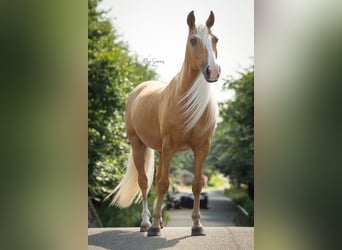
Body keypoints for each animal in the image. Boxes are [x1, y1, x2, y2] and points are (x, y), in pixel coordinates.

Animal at [109, 9, 222, 236]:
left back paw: (158, 220)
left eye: (215, 39)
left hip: (159, 151)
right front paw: (153, 227)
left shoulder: (201, 148)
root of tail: (139, 89)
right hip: (138, 145)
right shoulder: (169, 147)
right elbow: (162, 184)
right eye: (193, 40)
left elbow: (196, 185)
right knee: (145, 183)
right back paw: (147, 223)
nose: (213, 71)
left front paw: (197, 225)